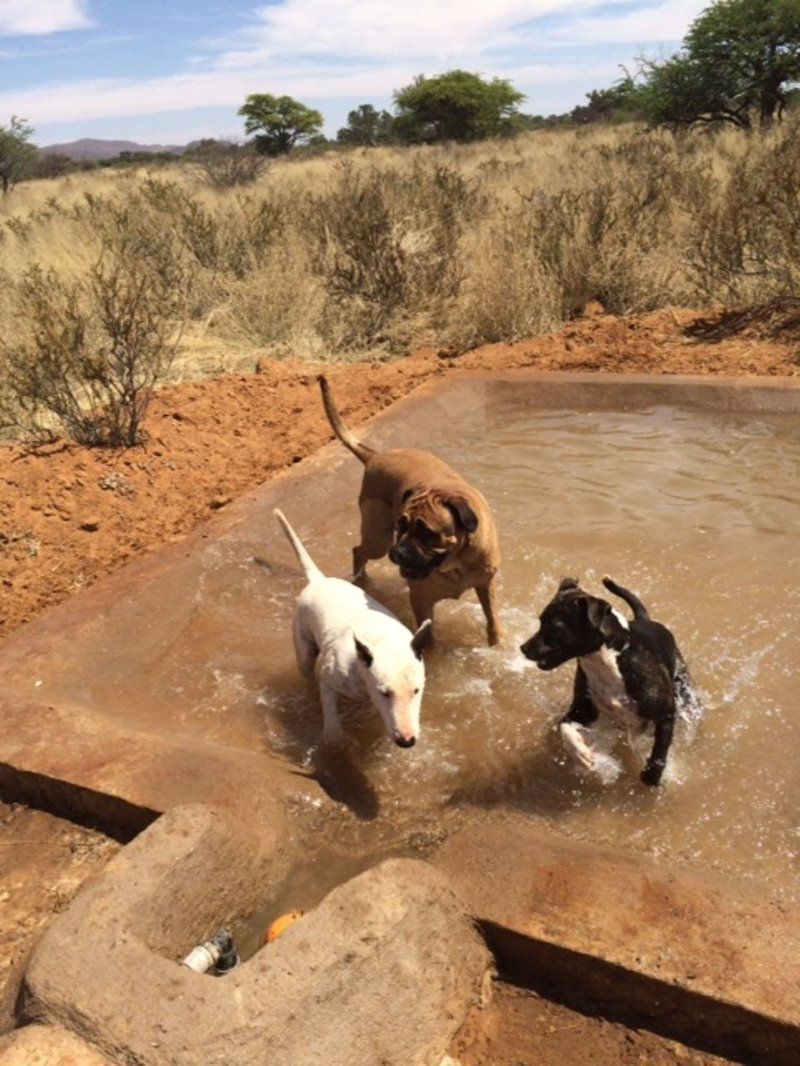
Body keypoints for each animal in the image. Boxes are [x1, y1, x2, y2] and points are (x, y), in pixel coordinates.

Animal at [275, 509, 433, 746]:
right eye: (385, 692)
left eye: (416, 690)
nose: (407, 740)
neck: (381, 641)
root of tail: (320, 581)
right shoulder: (329, 678)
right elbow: (331, 719)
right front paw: (335, 741)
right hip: (303, 642)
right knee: (306, 667)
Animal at [317, 379, 501, 643]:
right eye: (400, 525)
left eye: (427, 533)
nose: (397, 553)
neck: (455, 562)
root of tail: (375, 456)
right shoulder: (421, 600)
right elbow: (428, 637)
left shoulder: (487, 584)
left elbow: (493, 622)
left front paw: (497, 643)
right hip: (378, 539)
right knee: (359, 551)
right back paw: (362, 581)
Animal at [522, 579, 699, 788]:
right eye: (541, 620)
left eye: (556, 627)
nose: (523, 648)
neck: (606, 662)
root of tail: (644, 618)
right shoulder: (583, 709)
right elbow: (565, 727)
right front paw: (581, 753)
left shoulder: (666, 714)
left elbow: (659, 753)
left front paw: (651, 777)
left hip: (685, 692)